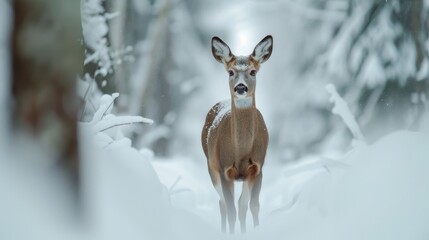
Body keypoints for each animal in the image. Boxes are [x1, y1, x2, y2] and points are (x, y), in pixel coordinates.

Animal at [200, 35, 270, 234]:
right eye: (230, 72)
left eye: (253, 71)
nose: (240, 87)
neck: (241, 153)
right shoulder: (224, 169)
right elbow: (231, 210)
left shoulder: (258, 168)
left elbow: (250, 205)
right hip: (211, 166)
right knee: (222, 204)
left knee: (239, 204)